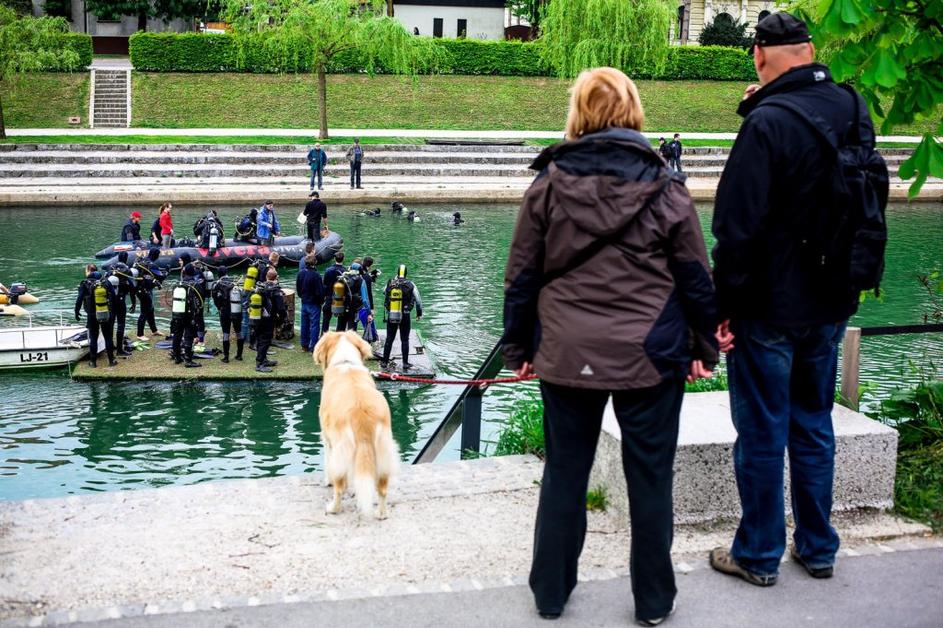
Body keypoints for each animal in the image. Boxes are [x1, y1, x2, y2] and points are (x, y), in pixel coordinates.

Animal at [316, 332, 400, 516]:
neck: (345, 361)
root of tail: (361, 412)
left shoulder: (328, 440)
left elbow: (328, 464)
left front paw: (327, 481)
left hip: (341, 446)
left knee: (340, 487)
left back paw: (333, 508)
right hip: (383, 449)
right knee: (382, 489)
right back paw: (381, 514)